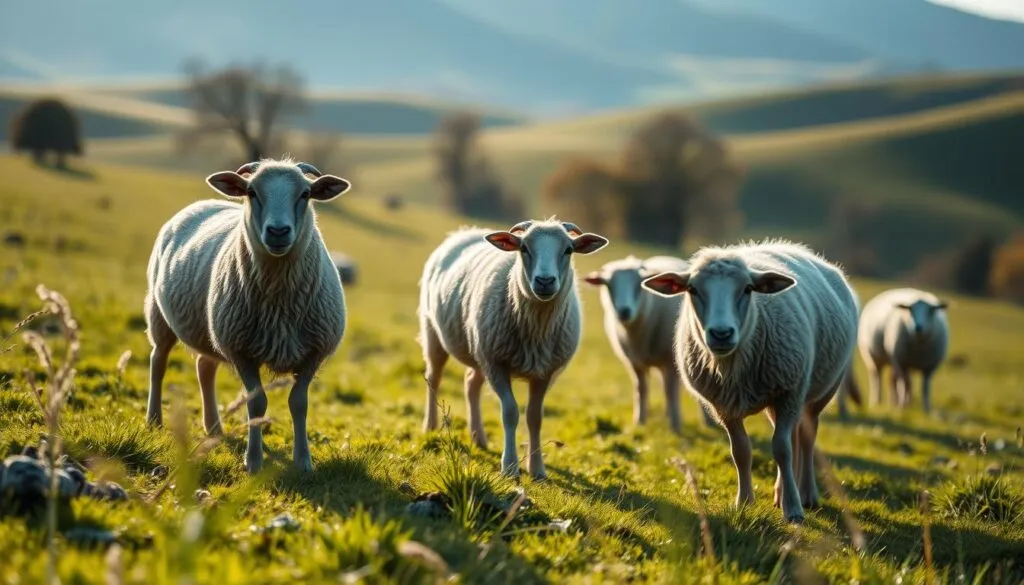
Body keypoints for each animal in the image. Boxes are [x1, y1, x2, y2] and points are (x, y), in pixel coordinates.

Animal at [143, 157, 351, 474]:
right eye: (252, 192)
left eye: (305, 194)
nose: (278, 232)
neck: (279, 301)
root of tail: (202, 202)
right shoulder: (241, 351)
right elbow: (256, 404)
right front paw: (253, 461)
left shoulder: (313, 352)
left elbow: (299, 403)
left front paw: (303, 461)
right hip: (159, 314)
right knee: (158, 362)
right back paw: (154, 419)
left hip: (210, 329)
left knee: (204, 367)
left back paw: (214, 428)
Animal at [418, 218, 609, 480]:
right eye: (524, 248)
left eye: (569, 250)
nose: (545, 281)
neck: (536, 331)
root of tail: (464, 232)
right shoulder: (497, 365)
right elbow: (510, 414)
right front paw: (509, 466)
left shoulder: (544, 373)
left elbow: (534, 417)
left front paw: (537, 469)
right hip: (435, 333)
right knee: (434, 379)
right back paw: (430, 427)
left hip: (480, 350)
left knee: (471, 384)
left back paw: (478, 437)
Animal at [583, 255, 716, 433]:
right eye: (608, 285)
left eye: (638, 285)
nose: (624, 311)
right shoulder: (635, 362)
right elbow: (641, 389)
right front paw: (640, 421)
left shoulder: (670, 360)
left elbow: (671, 392)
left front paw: (675, 426)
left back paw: (706, 421)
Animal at [642, 239, 859, 523]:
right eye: (692, 289)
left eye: (747, 289)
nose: (721, 333)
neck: (733, 369)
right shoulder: (724, 407)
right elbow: (741, 452)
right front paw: (744, 502)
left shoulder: (789, 391)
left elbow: (781, 449)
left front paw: (793, 509)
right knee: (794, 436)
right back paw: (781, 491)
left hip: (819, 391)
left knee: (807, 435)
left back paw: (807, 493)